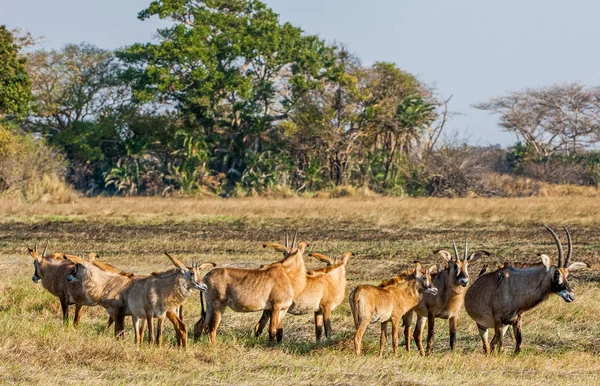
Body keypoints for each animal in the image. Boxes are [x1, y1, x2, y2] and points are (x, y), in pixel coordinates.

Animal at [464, 225, 592, 354]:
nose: (570, 296)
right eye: (556, 273)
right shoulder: (498, 320)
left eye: (567, 274)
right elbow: (502, 347)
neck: (517, 286)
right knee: (487, 347)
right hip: (483, 325)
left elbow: (519, 346)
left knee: (491, 345)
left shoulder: (516, 320)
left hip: (504, 326)